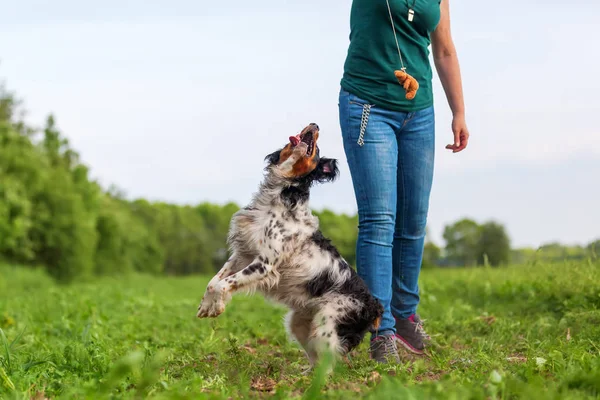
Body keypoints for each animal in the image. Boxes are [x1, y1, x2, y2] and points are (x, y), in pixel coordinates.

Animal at [197, 123, 384, 370]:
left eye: (317, 149)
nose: (315, 124)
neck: (279, 193)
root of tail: (374, 305)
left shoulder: (264, 264)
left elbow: (224, 283)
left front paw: (217, 305)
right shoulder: (242, 254)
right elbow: (213, 282)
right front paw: (206, 306)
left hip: (327, 324)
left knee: (331, 363)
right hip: (300, 321)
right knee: (316, 359)